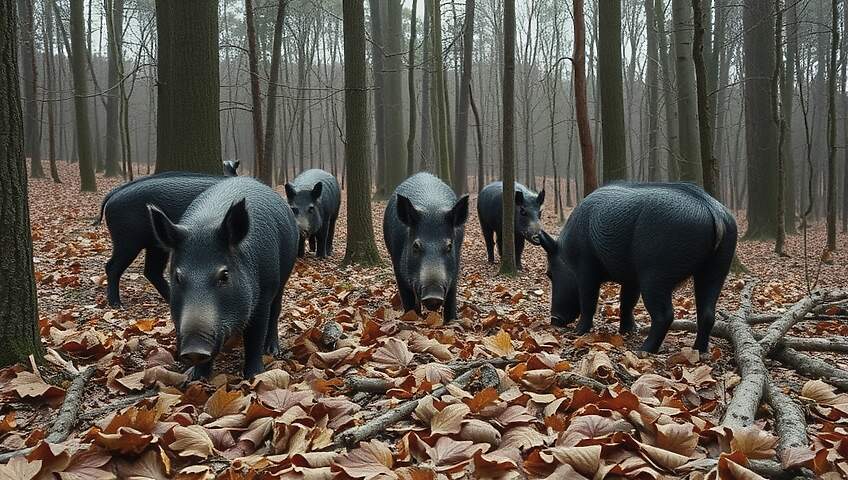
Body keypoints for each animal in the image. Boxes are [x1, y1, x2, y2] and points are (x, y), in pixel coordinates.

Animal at [148, 176, 299, 379]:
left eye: (224, 275)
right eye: (178, 277)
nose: (194, 348)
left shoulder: (263, 295)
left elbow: (255, 336)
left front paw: (253, 375)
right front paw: (196, 378)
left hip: (282, 277)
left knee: (275, 312)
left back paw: (272, 350)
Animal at [384, 172, 470, 321]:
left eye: (449, 246)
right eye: (416, 246)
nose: (433, 295)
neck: (432, 210)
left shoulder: (455, 270)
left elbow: (451, 299)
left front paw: (452, 320)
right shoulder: (398, 267)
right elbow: (408, 300)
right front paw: (412, 317)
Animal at [538, 182, 737, 354]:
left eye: (550, 274)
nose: (554, 320)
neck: (567, 252)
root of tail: (713, 211)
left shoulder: (586, 270)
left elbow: (589, 301)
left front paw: (578, 333)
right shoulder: (631, 278)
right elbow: (627, 302)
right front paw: (628, 331)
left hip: (656, 275)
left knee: (665, 315)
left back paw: (644, 350)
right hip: (716, 269)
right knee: (707, 313)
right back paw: (699, 351)